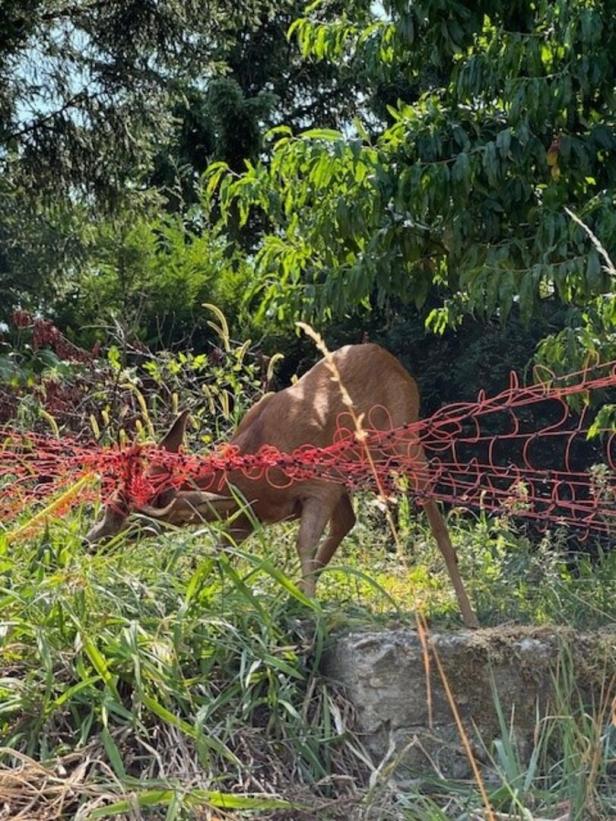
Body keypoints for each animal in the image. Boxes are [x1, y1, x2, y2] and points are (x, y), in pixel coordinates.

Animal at [86, 342, 478, 624]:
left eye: (133, 519)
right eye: (111, 502)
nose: (89, 542)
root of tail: (395, 362)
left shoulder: (320, 485)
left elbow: (302, 543)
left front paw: (312, 611)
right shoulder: (249, 514)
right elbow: (218, 553)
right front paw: (195, 598)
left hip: (405, 437)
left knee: (436, 521)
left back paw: (469, 616)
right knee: (348, 520)